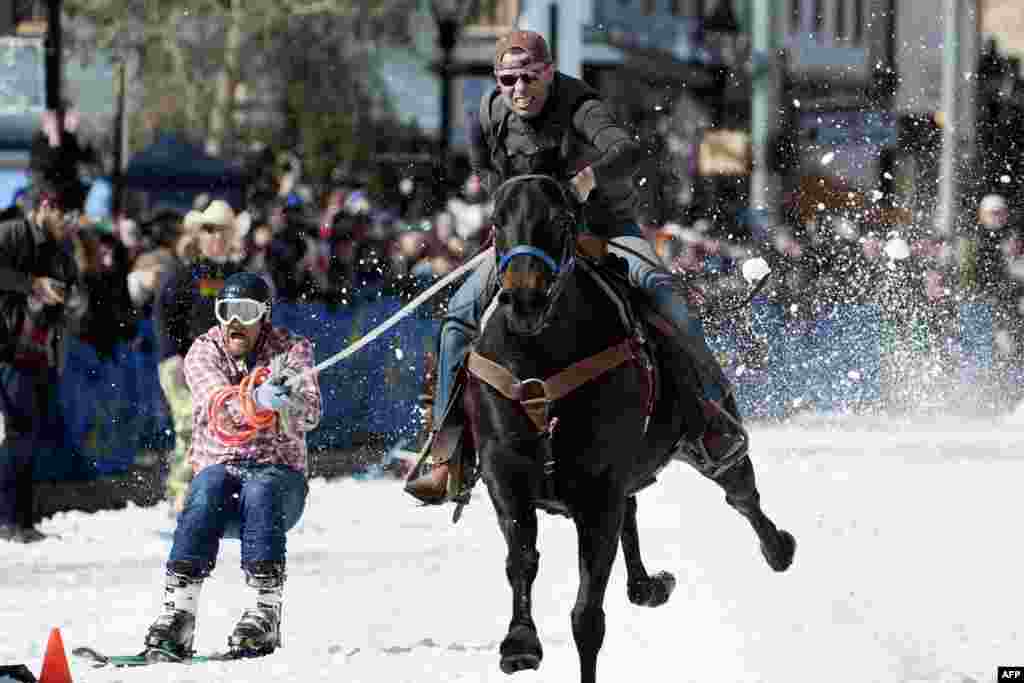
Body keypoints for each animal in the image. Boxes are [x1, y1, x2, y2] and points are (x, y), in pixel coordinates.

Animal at [460, 172, 794, 683]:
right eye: (497, 221)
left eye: (562, 219)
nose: (525, 300)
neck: (541, 363)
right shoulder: (504, 469)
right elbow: (522, 556)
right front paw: (519, 643)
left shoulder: (600, 490)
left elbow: (587, 616)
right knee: (634, 517)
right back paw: (648, 584)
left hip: (709, 438)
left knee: (741, 495)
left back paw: (777, 549)